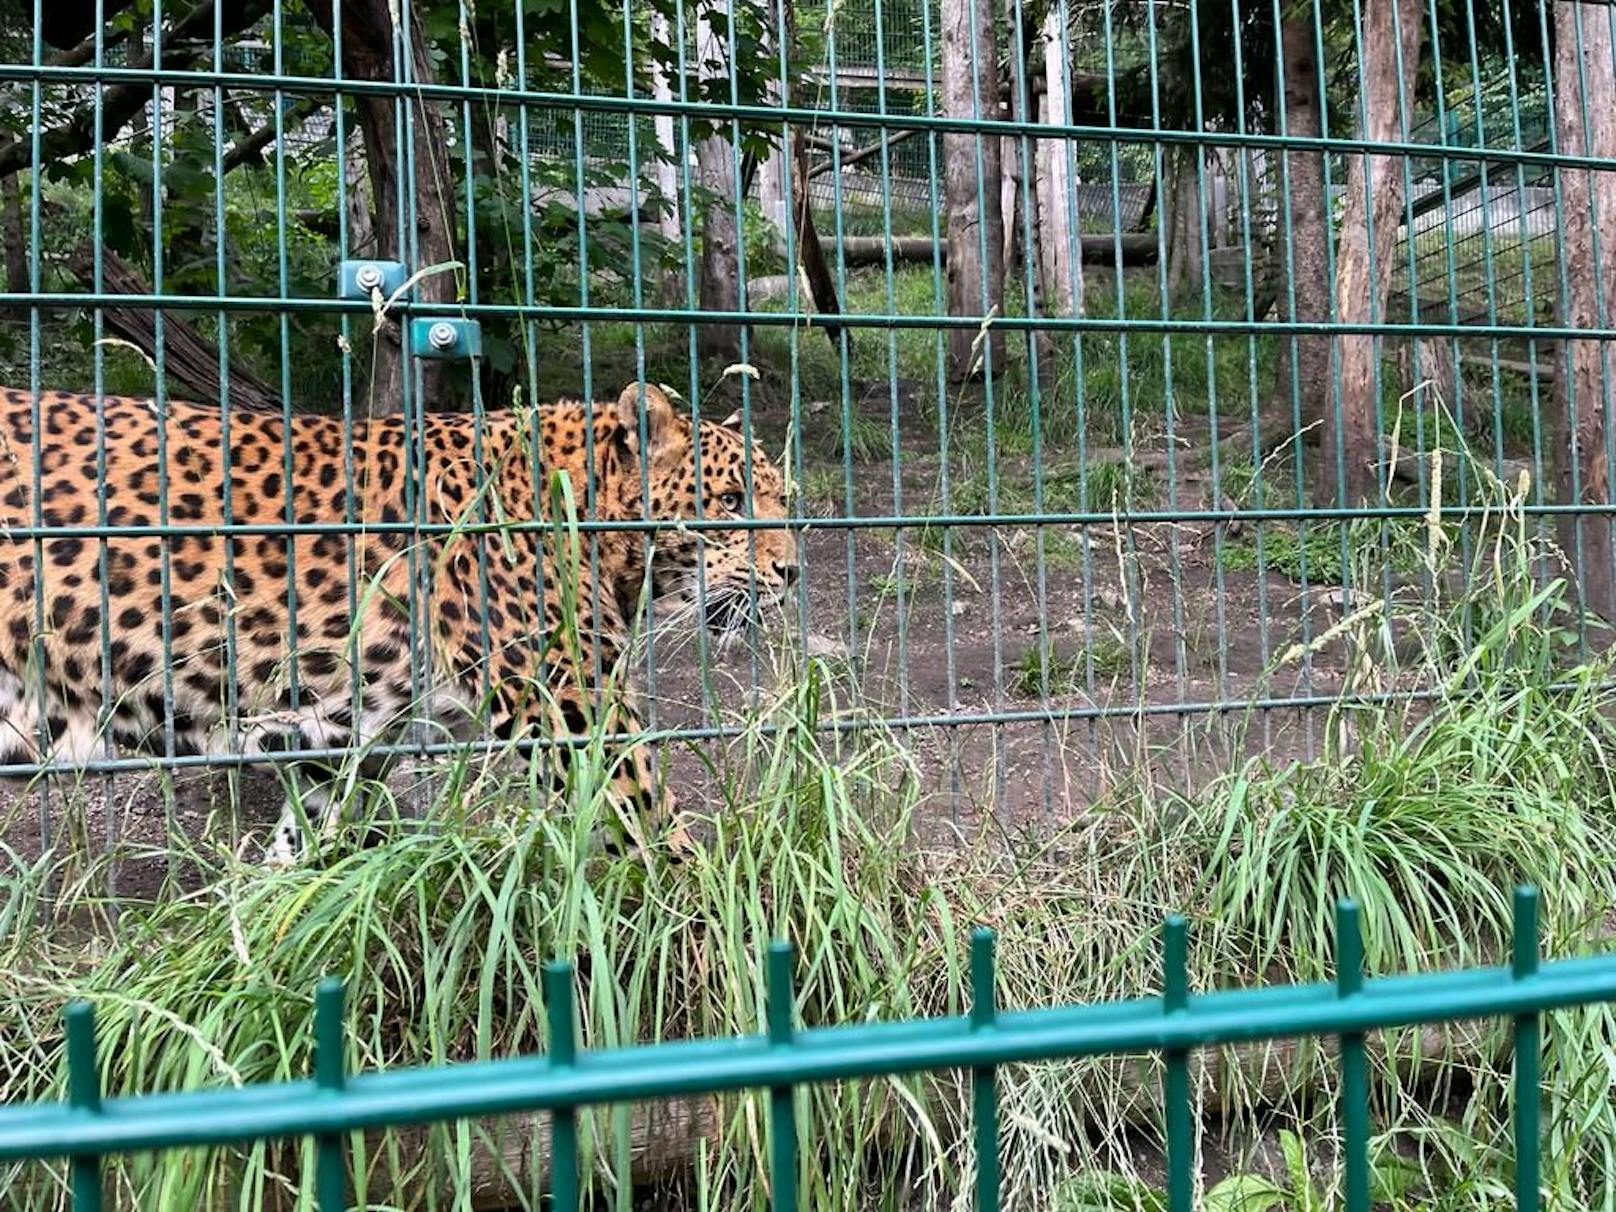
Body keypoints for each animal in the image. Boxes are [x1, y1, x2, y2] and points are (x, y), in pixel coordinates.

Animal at [0, 379, 801, 866]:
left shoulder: (343, 736)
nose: (793, 574)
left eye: (784, 498)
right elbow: (645, 821)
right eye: (730, 501)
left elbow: (306, 845)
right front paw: (707, 924)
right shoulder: (565, 704)